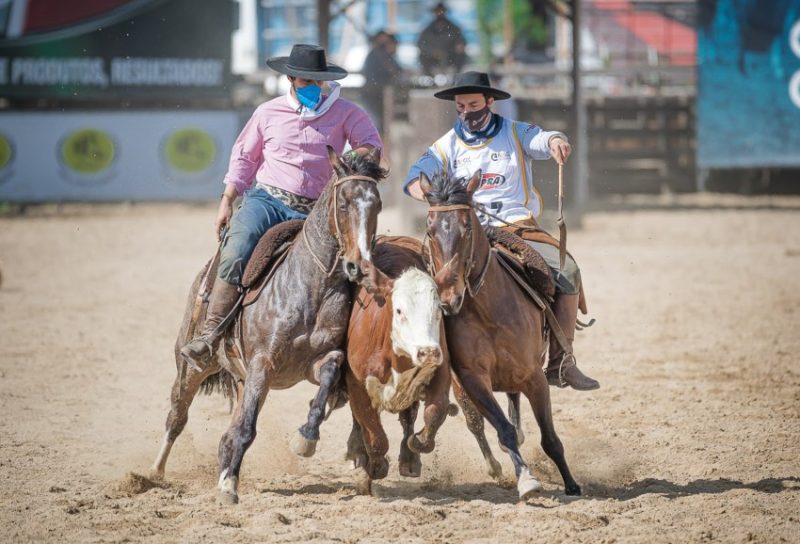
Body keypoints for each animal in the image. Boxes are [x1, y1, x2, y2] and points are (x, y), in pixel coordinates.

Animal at [152, 147, 390, 504]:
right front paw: (229, 486)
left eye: (377, 204)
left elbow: (327, 378)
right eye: (344, 203)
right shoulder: (264, 363)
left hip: (241, 377)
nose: (358, 265)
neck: (311, 286)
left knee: (227, 427)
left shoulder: (315, 362)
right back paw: (153, 473)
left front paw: (306, 438)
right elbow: (246, 428)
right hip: (193, 365)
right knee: (178, 415)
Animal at [344, 236, 454, 490]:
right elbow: (373, 431)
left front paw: (419, 442)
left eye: (438, 310)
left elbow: (436, 410)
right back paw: (358, 452)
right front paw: (375, 465)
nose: (428, 352)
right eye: (399, 310)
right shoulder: (355, 382)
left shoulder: (441, 370)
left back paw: (409, 459)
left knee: (408, 416)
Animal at [418, 169, 580, 498]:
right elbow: (501, 429)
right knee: (478, 423)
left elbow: (550, 439)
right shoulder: (472, 379)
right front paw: (526, 479)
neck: (489, 311)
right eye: (430, 230)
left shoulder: (534, 376)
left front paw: (571, 483)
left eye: (467, 227)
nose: (449, 298)